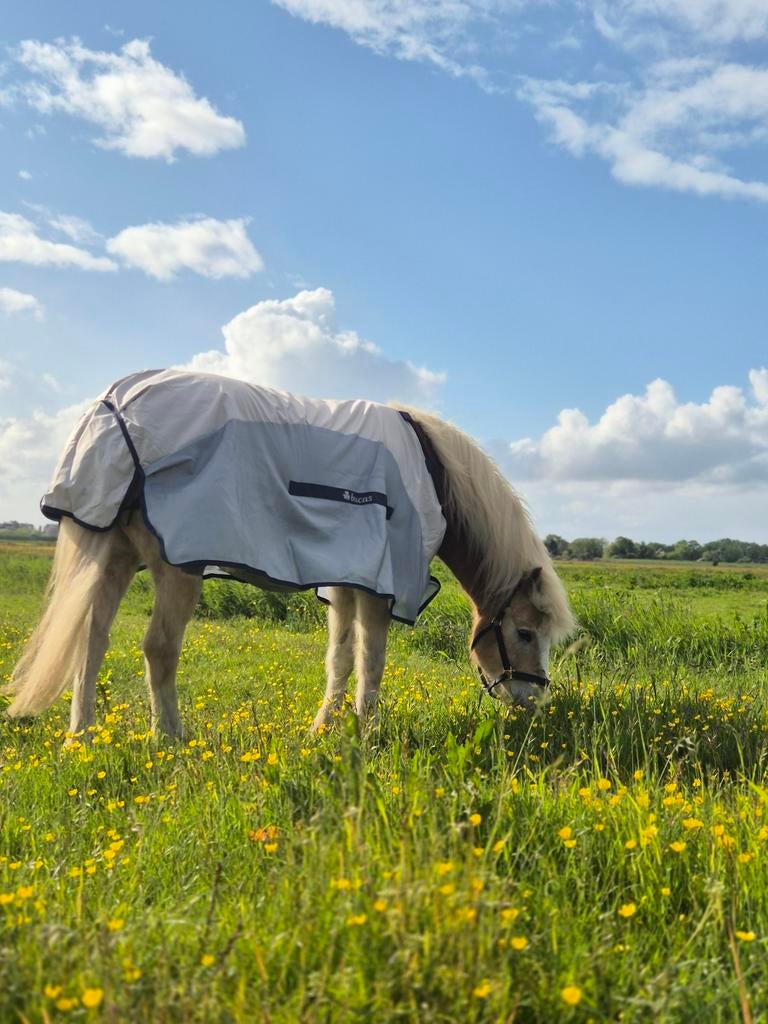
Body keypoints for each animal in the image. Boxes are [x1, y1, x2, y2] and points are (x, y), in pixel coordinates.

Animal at [4, 369, 575, 739]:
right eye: (525, 633)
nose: (533, 702)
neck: (432, 474)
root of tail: (114, 407)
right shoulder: (383, 584)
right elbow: (373, 661)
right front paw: (369, 732)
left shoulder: (348, 580)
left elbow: (340, 657)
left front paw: (326, 728)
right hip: (176, 566)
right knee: (158, 648)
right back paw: (170, 740)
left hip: (115, 559)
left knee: (91, 640)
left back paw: (82, 736)